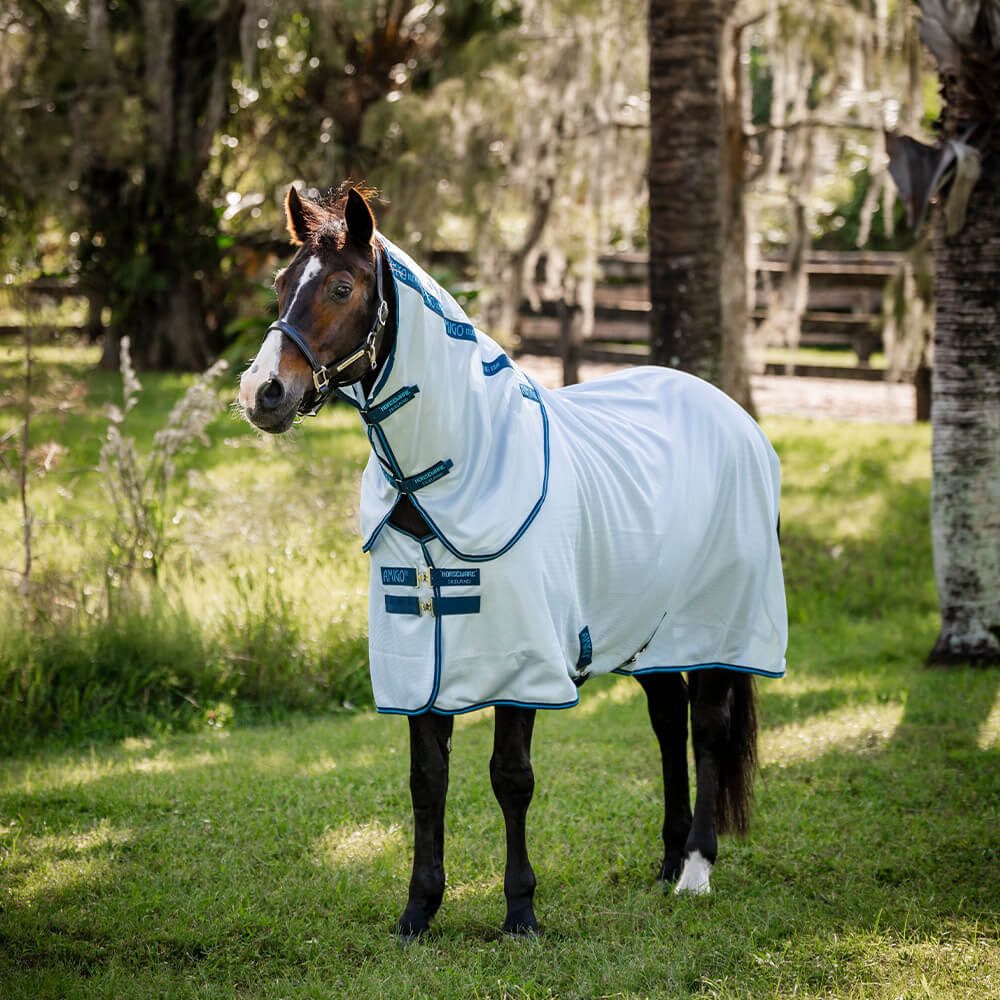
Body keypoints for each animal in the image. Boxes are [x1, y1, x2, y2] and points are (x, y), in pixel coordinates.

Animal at [238, 183, 787, 939]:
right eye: (281, 283)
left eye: (343, 286)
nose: (262, 392)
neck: (446, 469)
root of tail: (731, 414)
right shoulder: (421, 660)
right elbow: (426, 780)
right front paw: (418, 911)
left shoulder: (521, 661)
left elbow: (510, 777)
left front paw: (521, 911)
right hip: (649, 629)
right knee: (667, 722)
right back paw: (670, 859)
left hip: (715, 626)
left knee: (704, 730)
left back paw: (697, 871)